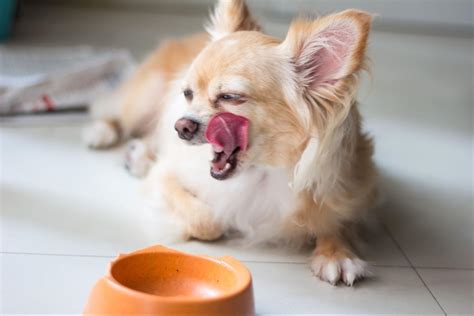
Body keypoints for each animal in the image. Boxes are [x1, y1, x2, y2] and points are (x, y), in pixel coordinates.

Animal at [82, 0, 378, 286]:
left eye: (230, 97)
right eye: (188, 94)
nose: (180, 126)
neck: (261, 173)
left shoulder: (349, 190)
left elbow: (338, 221)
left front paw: (338, 254)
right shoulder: (164, 177)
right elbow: (209, 220)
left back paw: (139, 154)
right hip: (144, 99)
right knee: (112, 112)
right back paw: (103, 134)